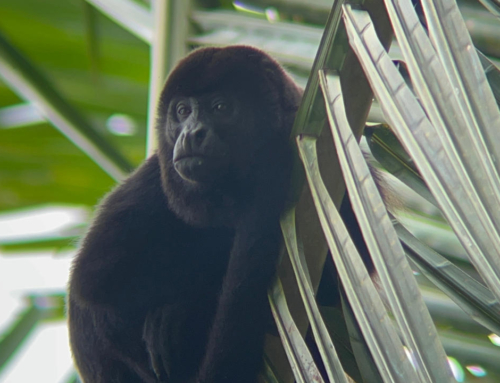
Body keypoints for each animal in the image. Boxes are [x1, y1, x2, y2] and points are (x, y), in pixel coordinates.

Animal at [67, 46, 304, 383]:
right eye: (182, 111)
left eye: (220, 107)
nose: (192, 133)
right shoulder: (153, 182)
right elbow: (94, 279)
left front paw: (182, 312)